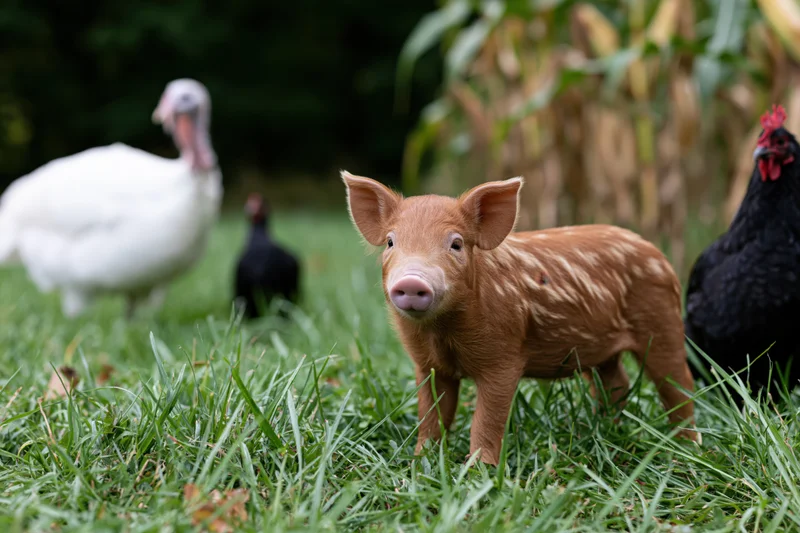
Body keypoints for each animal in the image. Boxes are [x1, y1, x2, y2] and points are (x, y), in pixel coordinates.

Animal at [342, 171, 698, 465]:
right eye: (391, 242)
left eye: (456, 244)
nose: (412, 281)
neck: (443, 332)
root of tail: (658, 256)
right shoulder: (428, 365)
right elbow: (432, 414)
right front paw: (421, 461)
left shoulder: (504, 356)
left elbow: (487, 418)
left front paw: (478, 471)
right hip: (607, 350)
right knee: (616, 383)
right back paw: (607, 428)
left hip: (662, 321)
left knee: (678, 382)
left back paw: (686, 446)